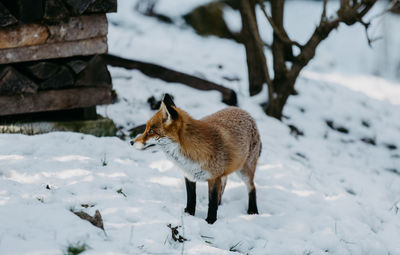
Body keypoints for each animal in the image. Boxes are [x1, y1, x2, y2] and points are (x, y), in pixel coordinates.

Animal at [131, 94, 260, 223]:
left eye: (151, 131)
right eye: (146, 129)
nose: (131, 142)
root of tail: (242, 111)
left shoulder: (214, 178)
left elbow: (211, 202)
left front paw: (210, 221)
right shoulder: (189, 175)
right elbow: (191, 198)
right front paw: (189, 214)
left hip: (244, 171)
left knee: (252, 188)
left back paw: (253, 211)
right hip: (226, 174)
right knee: (224, 187)